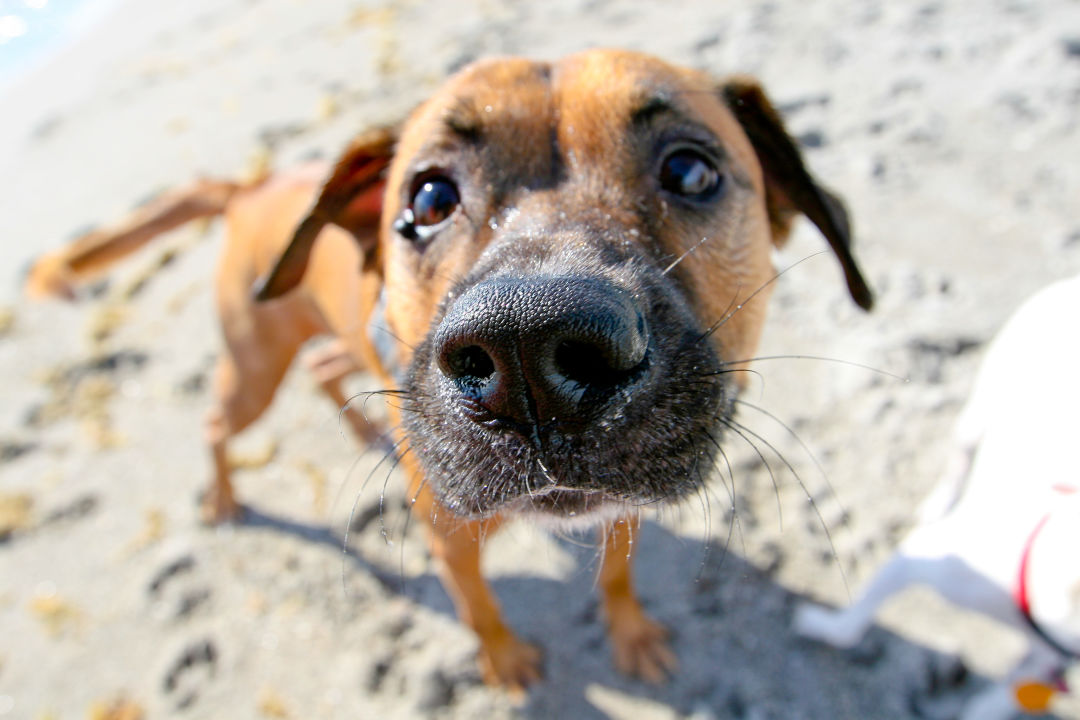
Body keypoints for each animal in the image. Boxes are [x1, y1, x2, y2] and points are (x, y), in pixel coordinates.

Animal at [27, 49, 868, 690]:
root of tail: (251, 185)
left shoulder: (623, 506)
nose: (528, 354)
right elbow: (480, 609)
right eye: (429, 197)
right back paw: (227, 497)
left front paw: (629, 633)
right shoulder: (448, 539)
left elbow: (617, 577)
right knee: (214, 420)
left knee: (328, 363)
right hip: (254, 369)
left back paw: (363, 429)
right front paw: (505, 665)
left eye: (691, 171)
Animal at [794, 273, 1080, 716]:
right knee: (959, 460)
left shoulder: (1048, 659)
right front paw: (824, 625)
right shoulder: (923, 558)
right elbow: (853, 621)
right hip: (979, 410)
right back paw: (940, 501)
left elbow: (1010, 691)